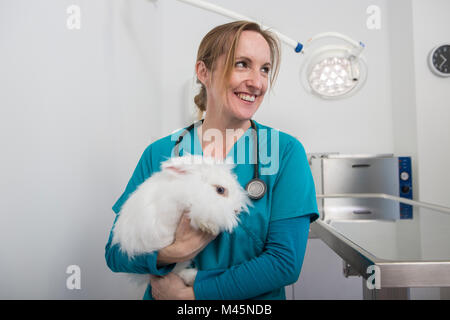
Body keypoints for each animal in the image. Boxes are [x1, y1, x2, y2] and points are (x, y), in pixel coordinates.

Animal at [110, 154, 251, 286]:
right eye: (220, 190)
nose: (237, 210)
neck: (192, 188)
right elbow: (202, 213)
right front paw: (209, 226)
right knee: (175, 272)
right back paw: (192, 276)